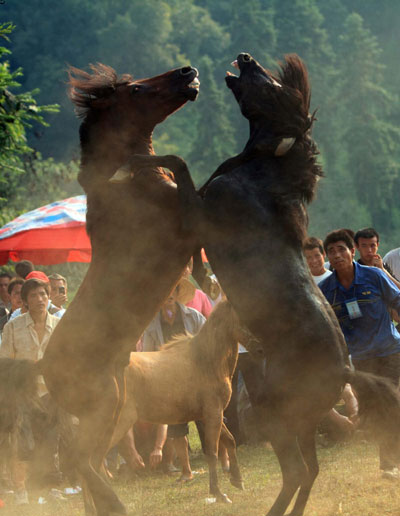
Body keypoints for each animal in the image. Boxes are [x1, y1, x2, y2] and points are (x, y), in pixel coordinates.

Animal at [38, 63, 200, 516]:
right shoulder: (183, 221)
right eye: (137, 90)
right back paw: (116, 503)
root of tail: (44, 371)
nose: (187, 72)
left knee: (90, 462)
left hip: (113, 404)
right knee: (80, 459)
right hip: (104, 403)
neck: (128, 185)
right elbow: (182, 165)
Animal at [111, 300, 245, 502]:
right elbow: (213, 452)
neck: (206, 361)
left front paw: (237, 480)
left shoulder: (210, 415)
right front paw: (218, 492)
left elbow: (229, 440)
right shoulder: (213, 413)